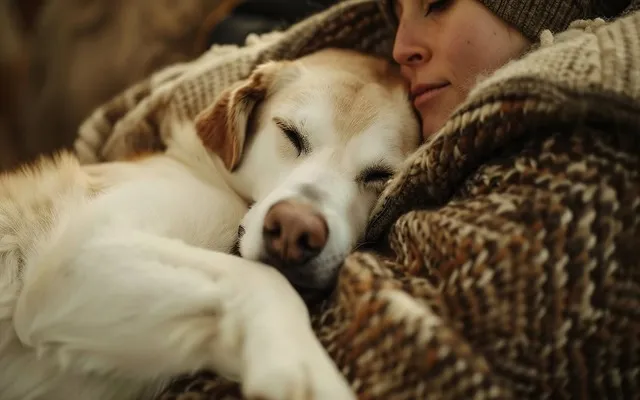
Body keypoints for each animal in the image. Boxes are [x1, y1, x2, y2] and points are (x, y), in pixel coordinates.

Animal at [0, 49, 420, 400]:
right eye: (289, 133)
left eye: (380, 175)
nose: (293, 231)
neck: (212, 177)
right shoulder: (80, 252)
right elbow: (261, 277)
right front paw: (307, 368)